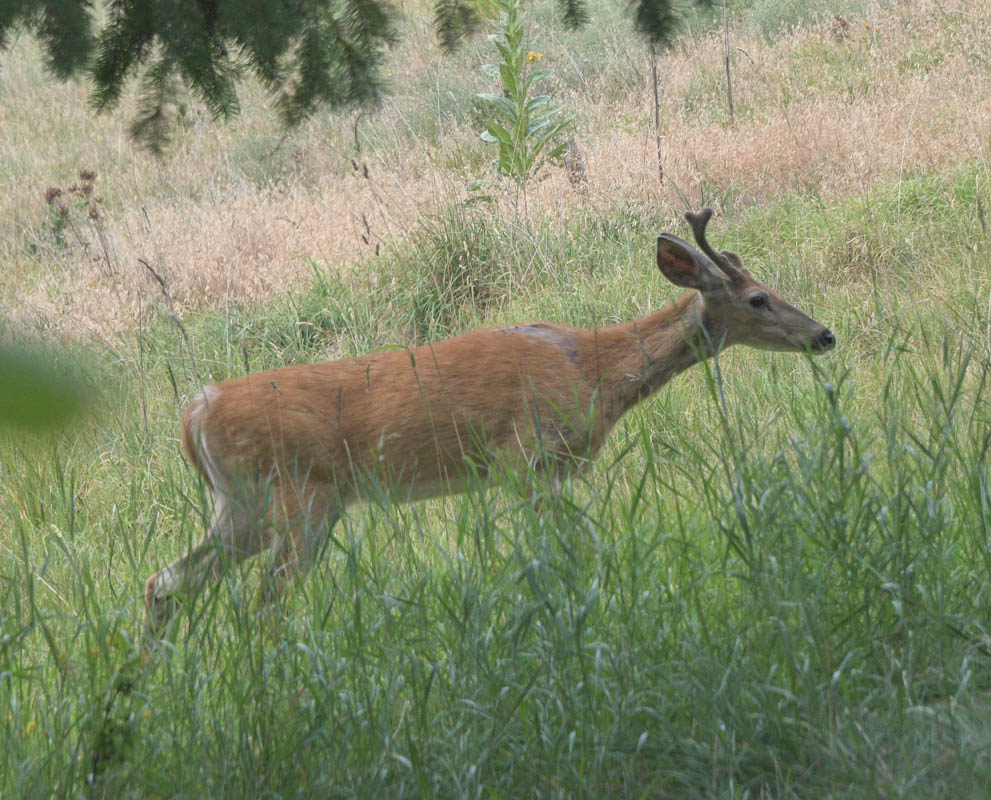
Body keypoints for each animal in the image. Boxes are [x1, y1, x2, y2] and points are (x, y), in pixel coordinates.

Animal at [144, 209, 835, 634]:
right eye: (758, 299)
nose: (824, 334)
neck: (595, 371)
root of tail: (195, 411)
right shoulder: (523, 458)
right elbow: (572, 547)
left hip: (243, 504)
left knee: (167, 581)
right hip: (301, 494)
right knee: (263, 600)